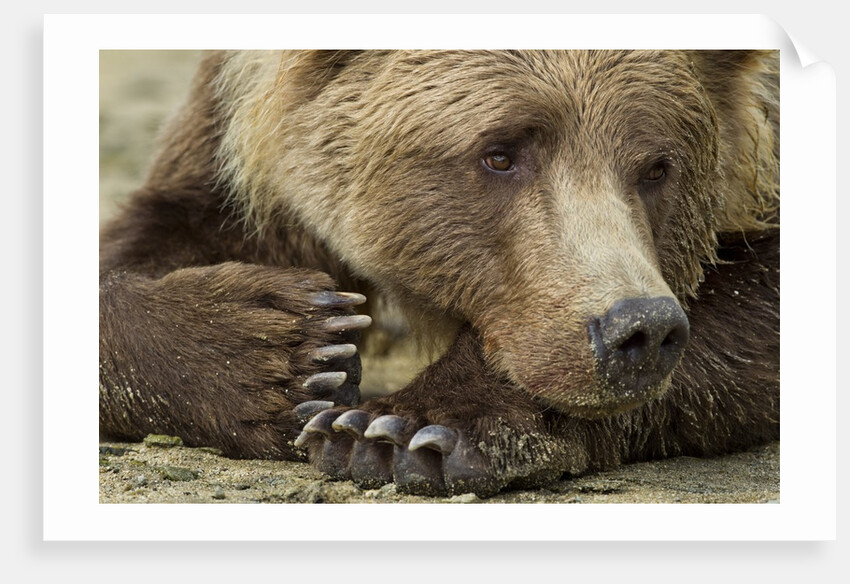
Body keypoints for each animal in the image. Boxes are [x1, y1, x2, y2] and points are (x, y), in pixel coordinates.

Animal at [99, 50, 779, 497]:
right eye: (499, 153)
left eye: (658, 167)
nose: (639, 330)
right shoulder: (231, 140)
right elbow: (159, 232)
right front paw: (286, 349)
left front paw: (399, 430)